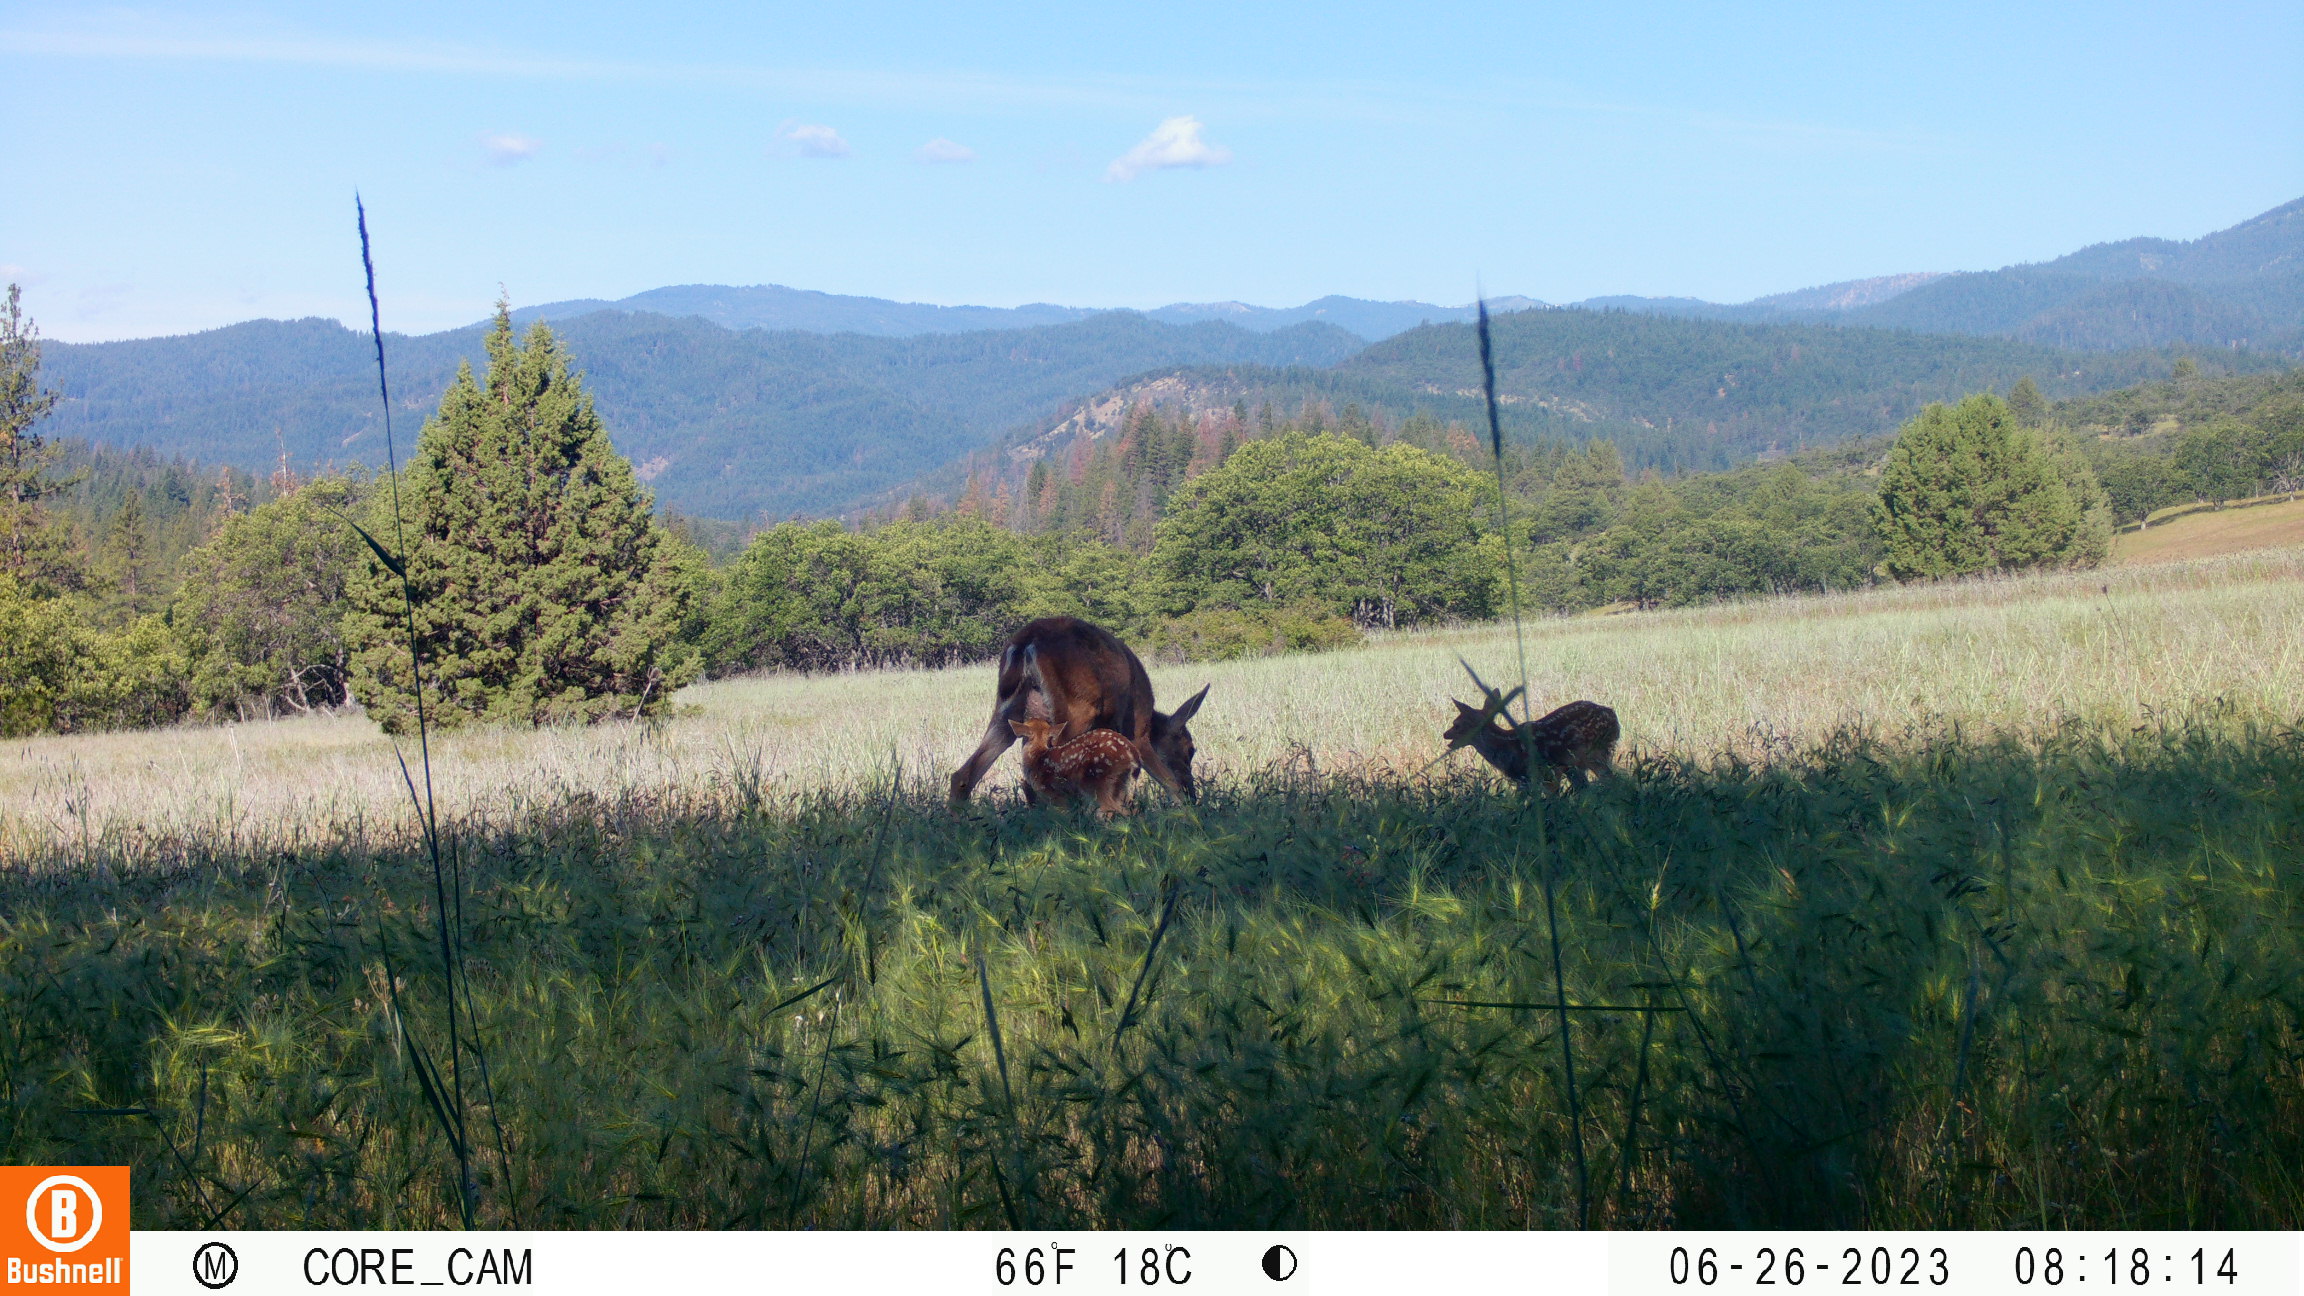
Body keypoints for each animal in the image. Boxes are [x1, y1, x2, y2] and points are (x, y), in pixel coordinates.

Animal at [1007, 718, 1141, 817]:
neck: (1037, 757)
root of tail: (1132, 752)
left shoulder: (1053, 793)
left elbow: (1062, 816)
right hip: (1120, 782)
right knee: (1130, 809)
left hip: (1096, 780)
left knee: (1112, 808)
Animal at [1440, 664, 1618, 793]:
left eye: (1456, 724)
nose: (1444, 734)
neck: (1504, 747)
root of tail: (1612, 714)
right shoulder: (1524, 780)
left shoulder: (1547, 774)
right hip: (1576, 765)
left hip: (1597, 753)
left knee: (1611, 779)